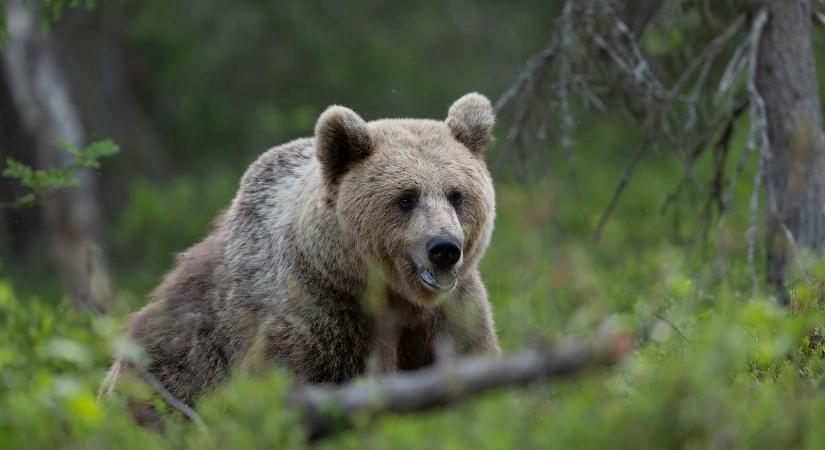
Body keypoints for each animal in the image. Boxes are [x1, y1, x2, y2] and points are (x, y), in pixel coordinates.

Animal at [104, 91, 502, 422]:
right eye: (406, 197)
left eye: (456, 194)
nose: (444, 248)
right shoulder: (319, 314)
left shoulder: (451, 312)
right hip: (167, 368)